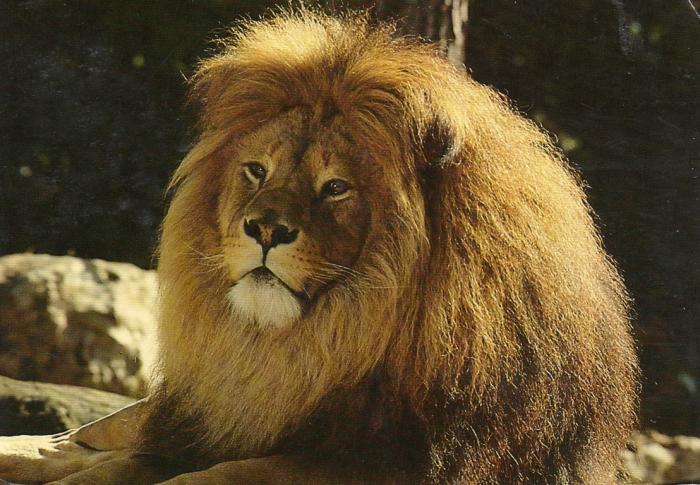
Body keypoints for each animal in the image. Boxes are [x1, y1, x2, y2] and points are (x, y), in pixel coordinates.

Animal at [0, 9, 638, 485]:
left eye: (335, 188)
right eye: (257, 170)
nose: (265, 229)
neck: (316, 343)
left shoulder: (396, 462)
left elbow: (220, 474)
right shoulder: (210, 421)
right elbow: (123, 456)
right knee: (87, 434)